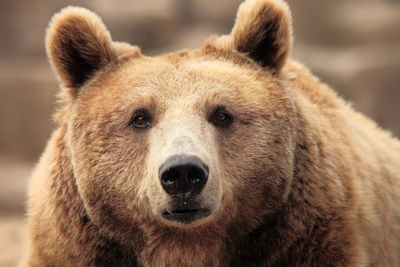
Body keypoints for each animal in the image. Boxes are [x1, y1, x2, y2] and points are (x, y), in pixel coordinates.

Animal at [22, 0, 400, 266]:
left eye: (221, 113)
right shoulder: (73, 248)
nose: (183, 173)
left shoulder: (309, 238)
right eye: (140, 117)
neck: (189, 246)